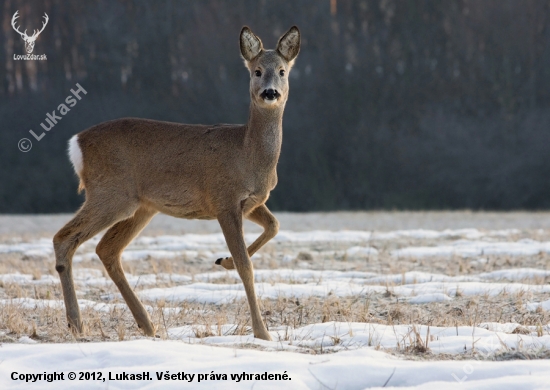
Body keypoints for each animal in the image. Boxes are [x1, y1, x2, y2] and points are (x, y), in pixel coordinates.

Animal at [53, 25, 302, 340]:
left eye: (282, 71)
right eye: (257, 71)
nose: (270, 92)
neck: (248, 153)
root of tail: (76, 144)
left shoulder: (253, 201)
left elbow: (274, 226)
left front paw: (223, 261)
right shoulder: (223, 199)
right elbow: (246, 264)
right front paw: (262, 333)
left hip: (142, 206)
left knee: (106, 249)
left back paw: (147, 325)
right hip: (111, 194)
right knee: (64, 238)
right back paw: (77, 324)